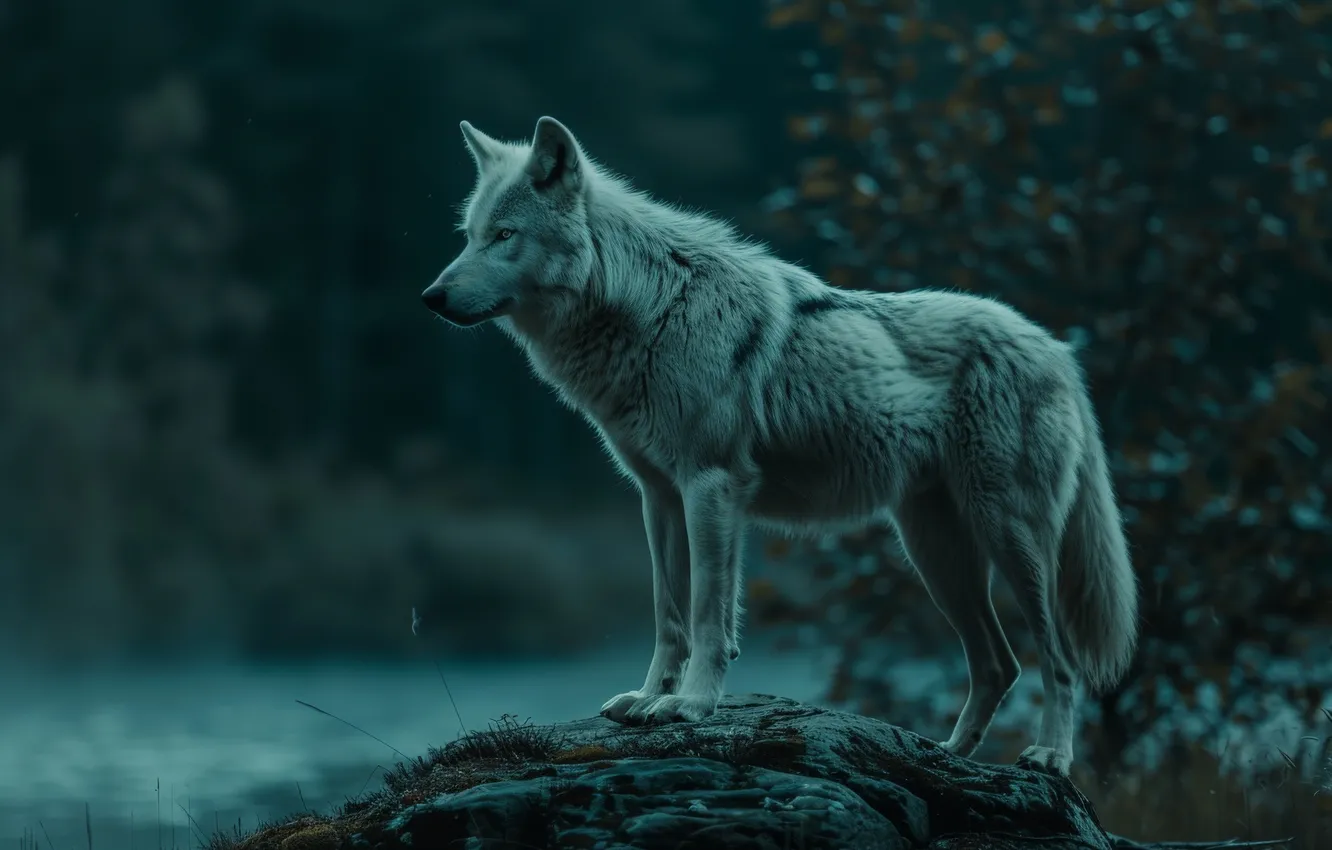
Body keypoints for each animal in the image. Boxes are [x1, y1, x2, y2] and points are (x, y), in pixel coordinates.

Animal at [421, 115, 1140, 775]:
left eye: (505, 236)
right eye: (469, 236)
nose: (431, 296)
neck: (647, 304)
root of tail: (1054, 346)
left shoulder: (711, 488)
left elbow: (708, 616)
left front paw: (690, 706)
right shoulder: (659, 497)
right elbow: (667, 614)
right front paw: (650, 699)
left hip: (1009, 540)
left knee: (1059, 660)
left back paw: (1049, 755)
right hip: (936, 554)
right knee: (999, 664)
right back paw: (946, 755)